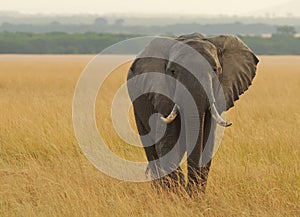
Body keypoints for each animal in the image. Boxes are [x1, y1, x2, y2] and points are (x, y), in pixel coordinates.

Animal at [126, 32, 258, 193]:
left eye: (215, 70)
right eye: (172, 72)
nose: (189, 190)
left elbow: (207, 145)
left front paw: (194, 196)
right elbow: (167, 145)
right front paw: (178, 195)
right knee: (151, 149)